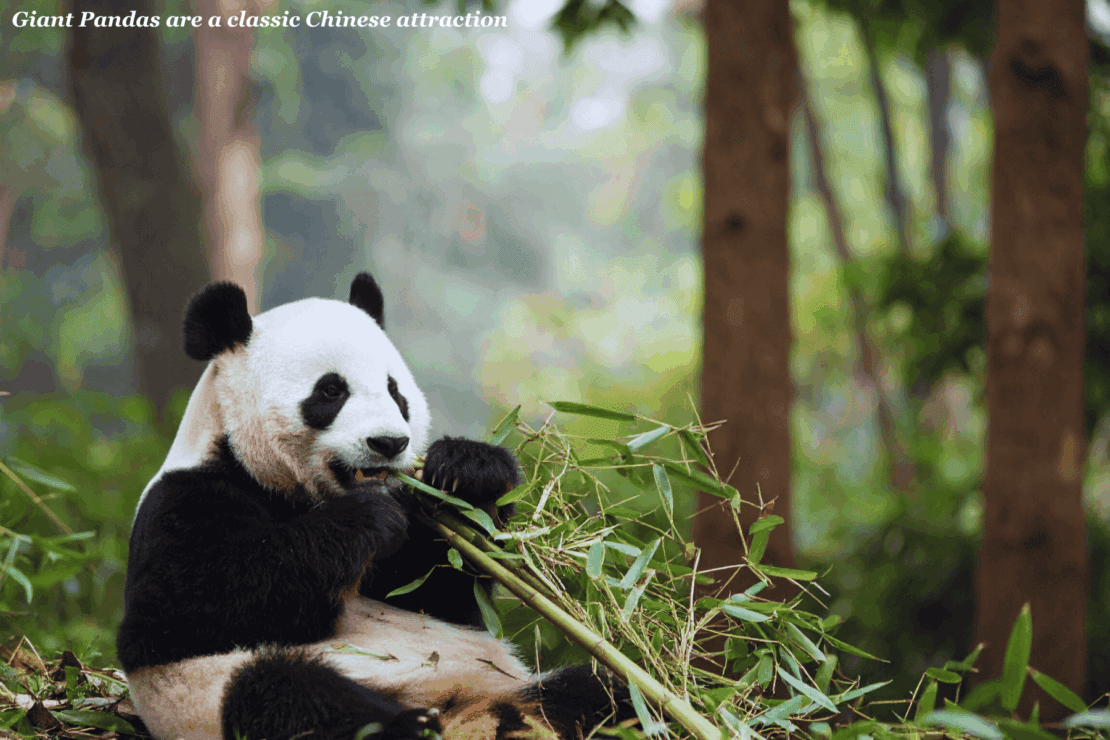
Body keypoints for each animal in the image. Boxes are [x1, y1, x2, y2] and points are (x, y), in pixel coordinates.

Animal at [116, 272, 631, 740]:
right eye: (330, 391)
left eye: (395, 391)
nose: (389, 443)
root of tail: (469, 716)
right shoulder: (186, 500)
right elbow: (178, 609)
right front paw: (365, 520)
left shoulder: (413, 551)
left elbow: (443, 591)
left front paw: (469, 470)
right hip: (221, 694)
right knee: (284, 693)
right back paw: (411, 727)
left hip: (514, 687)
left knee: (600, 693)